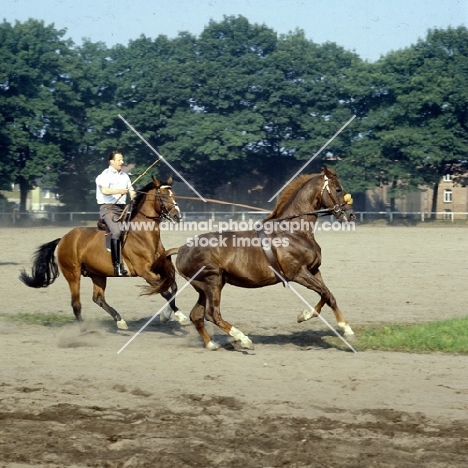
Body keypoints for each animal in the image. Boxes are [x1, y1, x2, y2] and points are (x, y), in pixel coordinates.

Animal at [19, 176, 188, 330]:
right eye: (163, 196)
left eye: (174, 194)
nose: (177, 216)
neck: (143, 235)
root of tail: (64, 239)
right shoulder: (145, 272)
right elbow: (165, 292)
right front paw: (180, 316)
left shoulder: (161, 269)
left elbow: (172, 288)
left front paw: (167, 315)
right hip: (73, 274)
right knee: (76, 303)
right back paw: (84, 329)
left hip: (97, 274)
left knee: (98, 298)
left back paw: (120, 320)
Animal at [177, 166, 356, 350]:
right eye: (338, 189)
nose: (350, 215)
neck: (293, 231)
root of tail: (182, 249)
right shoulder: (298, 273)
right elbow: (325, 293)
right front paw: (318, 319)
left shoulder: (314, 270)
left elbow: (328, 295)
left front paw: (342, 327)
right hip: (213, 282)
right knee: (212, 314)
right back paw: (243, 339)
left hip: (204, 288)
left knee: (196, 315)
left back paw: (212, 344)